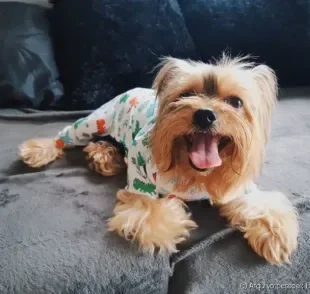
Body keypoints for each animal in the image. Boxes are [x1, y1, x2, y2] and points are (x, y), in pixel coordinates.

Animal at [18, 54, 298, 264]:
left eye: (235, 102)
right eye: (185, 94)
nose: (205, 114)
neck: (195, 172)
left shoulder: (237, 187)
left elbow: (260, 204)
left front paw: (275, 235)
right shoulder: (140, 169)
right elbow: (148, 208)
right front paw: (172, 219)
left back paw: (104, 157)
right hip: (96, 119)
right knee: (67, 135)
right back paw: (41, 150)